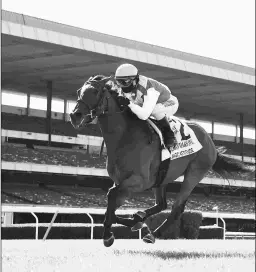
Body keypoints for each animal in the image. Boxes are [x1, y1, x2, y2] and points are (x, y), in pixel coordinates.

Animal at [69, 74, 252, 246]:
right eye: (78, 91)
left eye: (95, 91)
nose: (74, 116)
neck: (125, 137)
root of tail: (210, 140)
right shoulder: (121, 181)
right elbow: (111, 202)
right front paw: (134, 221)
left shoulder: (139, 181)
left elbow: (111, 196)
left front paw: (108, 235)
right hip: (162, 177)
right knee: (162, 204)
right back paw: (141, 219)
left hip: (194, 172)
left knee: (177, 208)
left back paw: (154, 234)